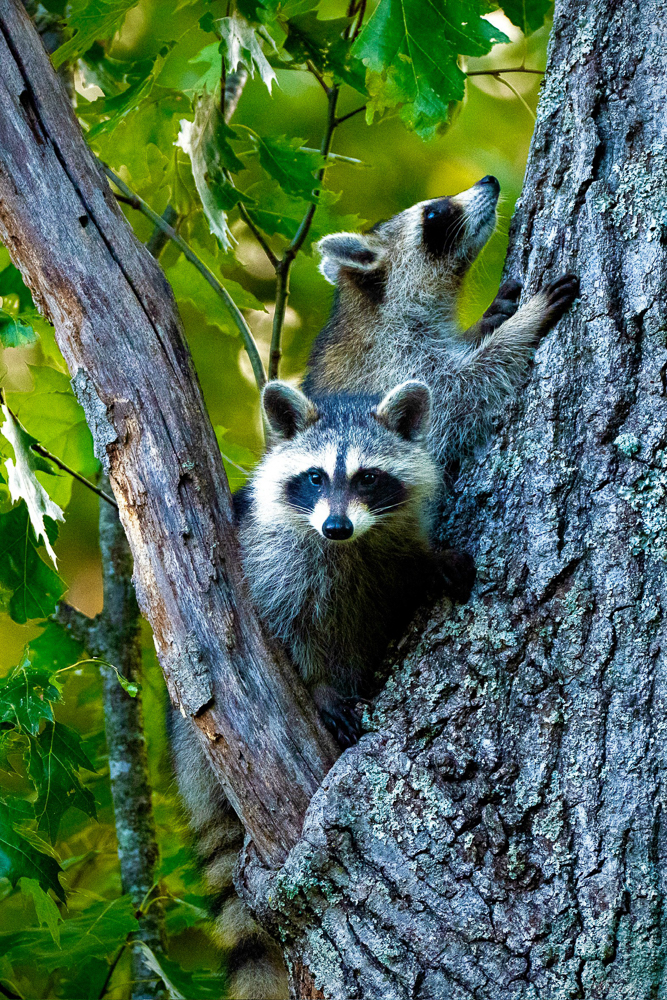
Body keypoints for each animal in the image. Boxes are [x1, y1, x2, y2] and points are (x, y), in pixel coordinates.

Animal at [305, 175, 580, 466]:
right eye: (433, 214)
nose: (489, 180)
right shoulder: (394, 360)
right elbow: (464, 391)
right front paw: (526, 320)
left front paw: (486, 322)